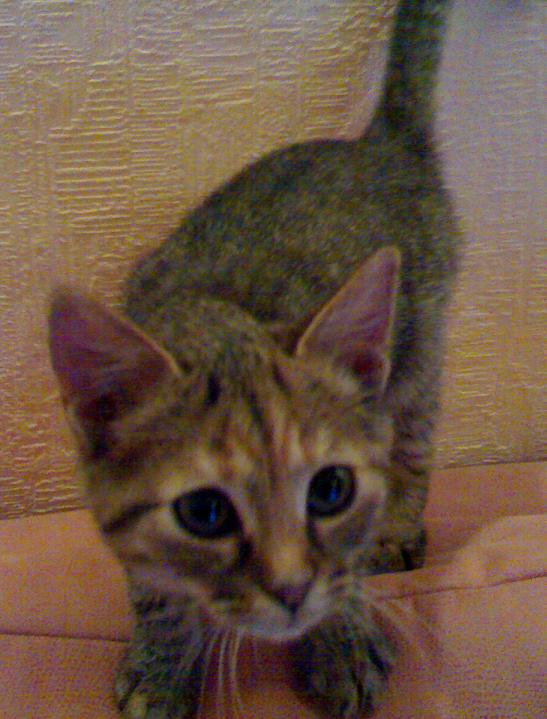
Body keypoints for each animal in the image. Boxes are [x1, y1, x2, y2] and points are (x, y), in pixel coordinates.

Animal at [48, 1, 461, 717]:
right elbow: (152, 588)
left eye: (329, 490)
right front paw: (162, 661)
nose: (292, 589)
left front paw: (341, 638)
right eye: (205, 513)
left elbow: (349, 558)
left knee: (413, 443)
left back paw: (399, 525)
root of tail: (376, 142)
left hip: (417, 354)